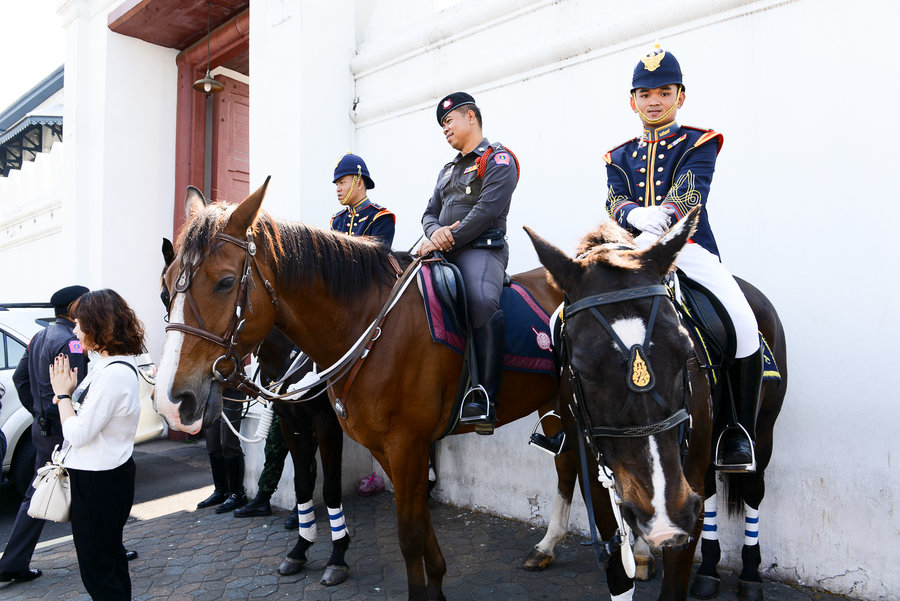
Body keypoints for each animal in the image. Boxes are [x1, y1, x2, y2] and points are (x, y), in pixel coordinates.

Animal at [528, 207, 788, 600]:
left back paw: (750, 575)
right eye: (582, 368)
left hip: (763, 433)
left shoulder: (683, 494)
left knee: (752, 491)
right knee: (712, 492)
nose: (664, 516)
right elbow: (619, 576)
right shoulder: (599, 484)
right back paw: (708, 572)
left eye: (685, 351)